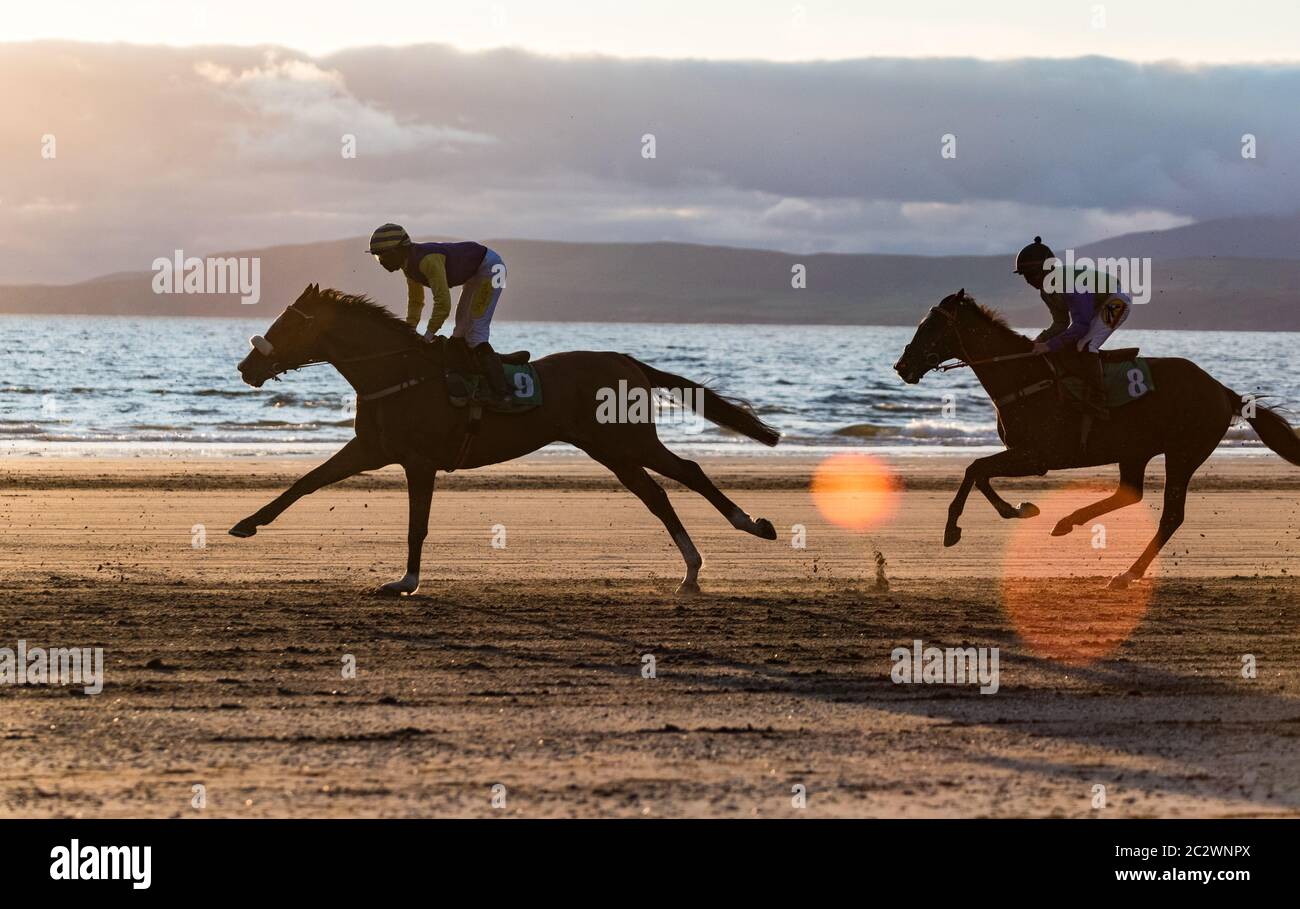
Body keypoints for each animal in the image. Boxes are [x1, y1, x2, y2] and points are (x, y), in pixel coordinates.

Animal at [227, 286, 774, 598]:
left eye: (287, 323)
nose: (246, 367)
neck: (397, 374)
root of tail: (624, 359)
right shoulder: (371, 450)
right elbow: (305, 482)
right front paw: (246, 523)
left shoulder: (419, 462)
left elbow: (417, 526)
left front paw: (405, 582)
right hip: (609, 449)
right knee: (657, 494)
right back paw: (691, 570)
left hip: (628, 440)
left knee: (688, 473)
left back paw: (750, 526)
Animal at [894, 289, 1300, 590]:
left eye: (930, 327)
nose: (902, 366)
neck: (1021, 373)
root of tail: (1223, 391)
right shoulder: (1024, 454)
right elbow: (976, 472)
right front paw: (1017, 509)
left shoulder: (1037, 456)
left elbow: (975, 468)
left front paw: (958, 527)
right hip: (1135, 451)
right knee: (1129, 493)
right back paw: (1069, 522)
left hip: (1183, 453)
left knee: (1170, 515)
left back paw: (1126, 573)